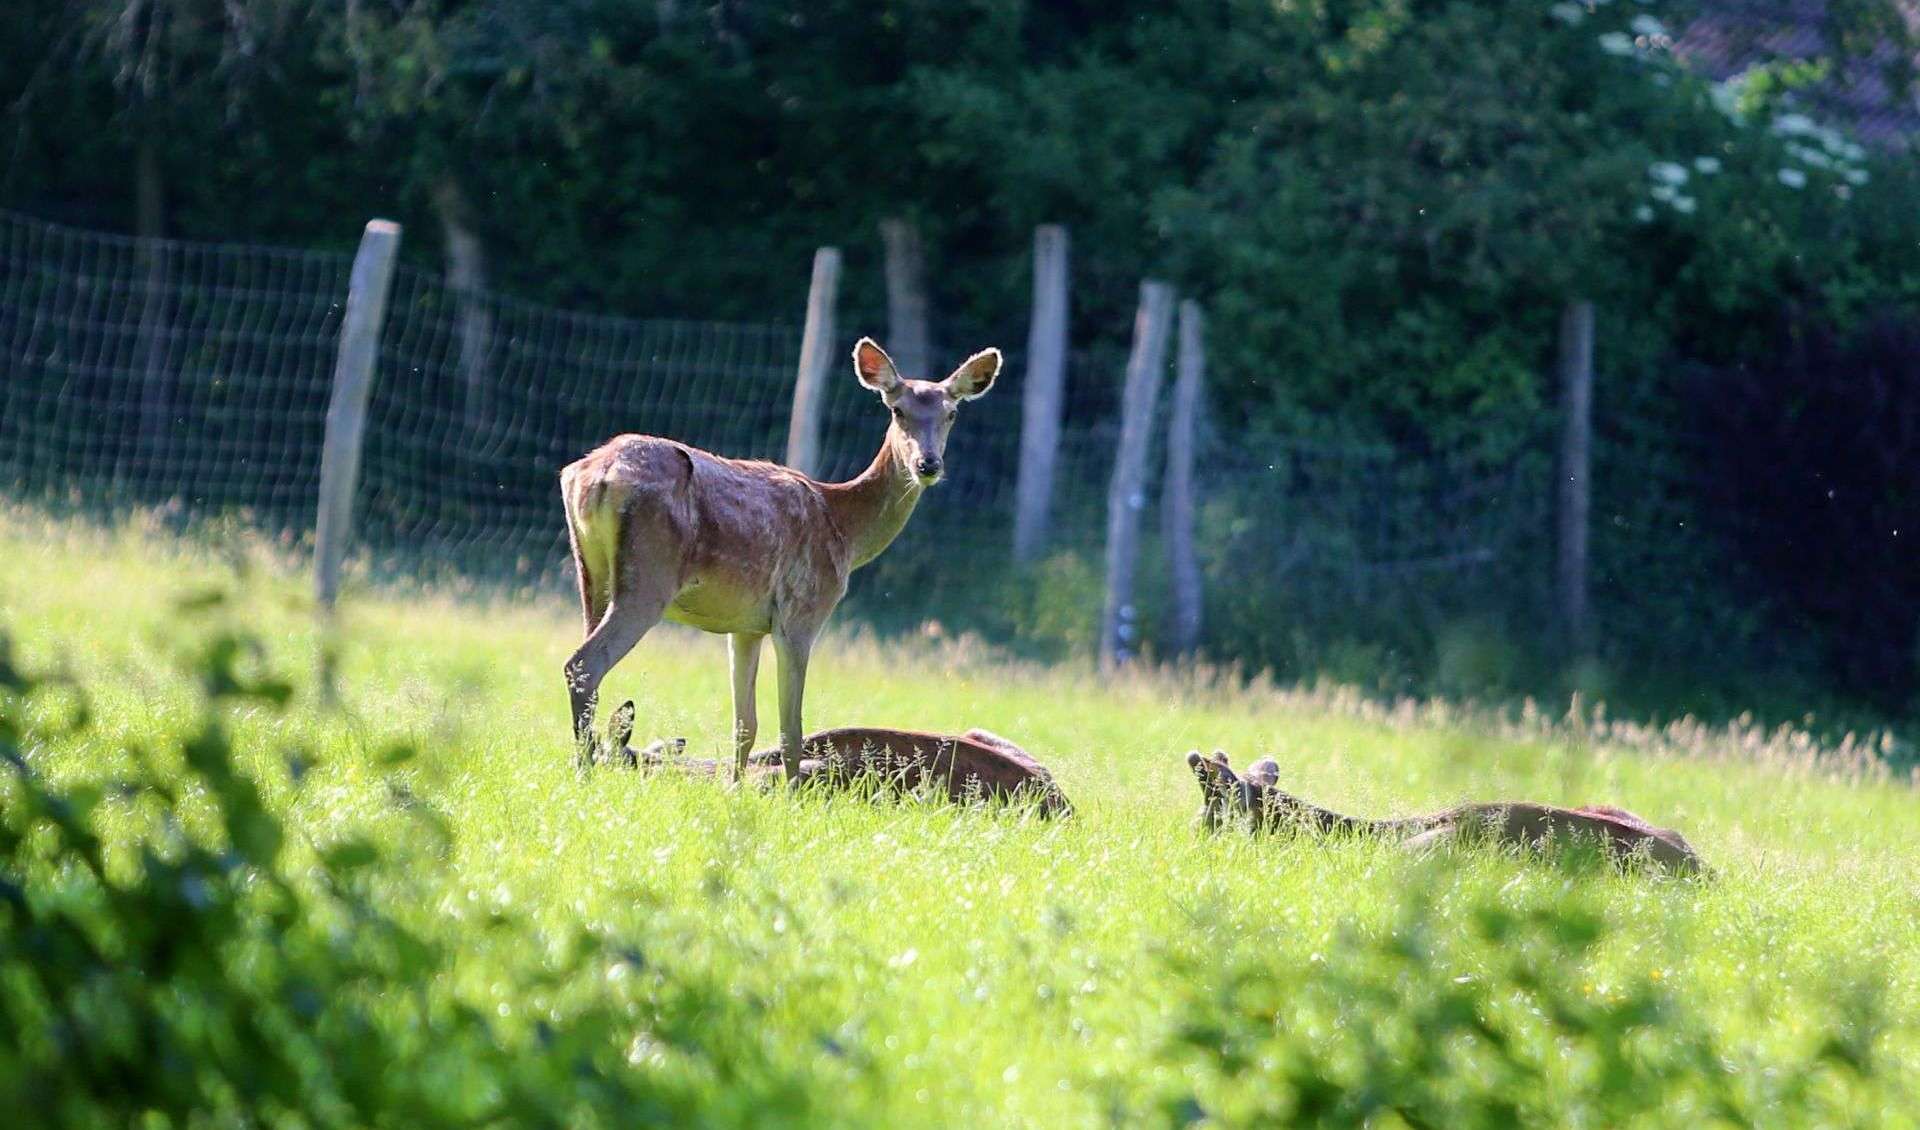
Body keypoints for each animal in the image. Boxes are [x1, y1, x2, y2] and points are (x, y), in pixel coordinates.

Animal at [560, 335, 998, 775]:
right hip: (651, 575)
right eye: (897, 409)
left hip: (592, 573)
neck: (843, 529)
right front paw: (788, 790)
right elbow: (791, 731)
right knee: (584, 663)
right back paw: (584, 771)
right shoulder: (801, 613)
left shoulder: (745, 626)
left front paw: (735, 787)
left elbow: (745, 726)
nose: (928, 464)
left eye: (952, 413)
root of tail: (593, 475)